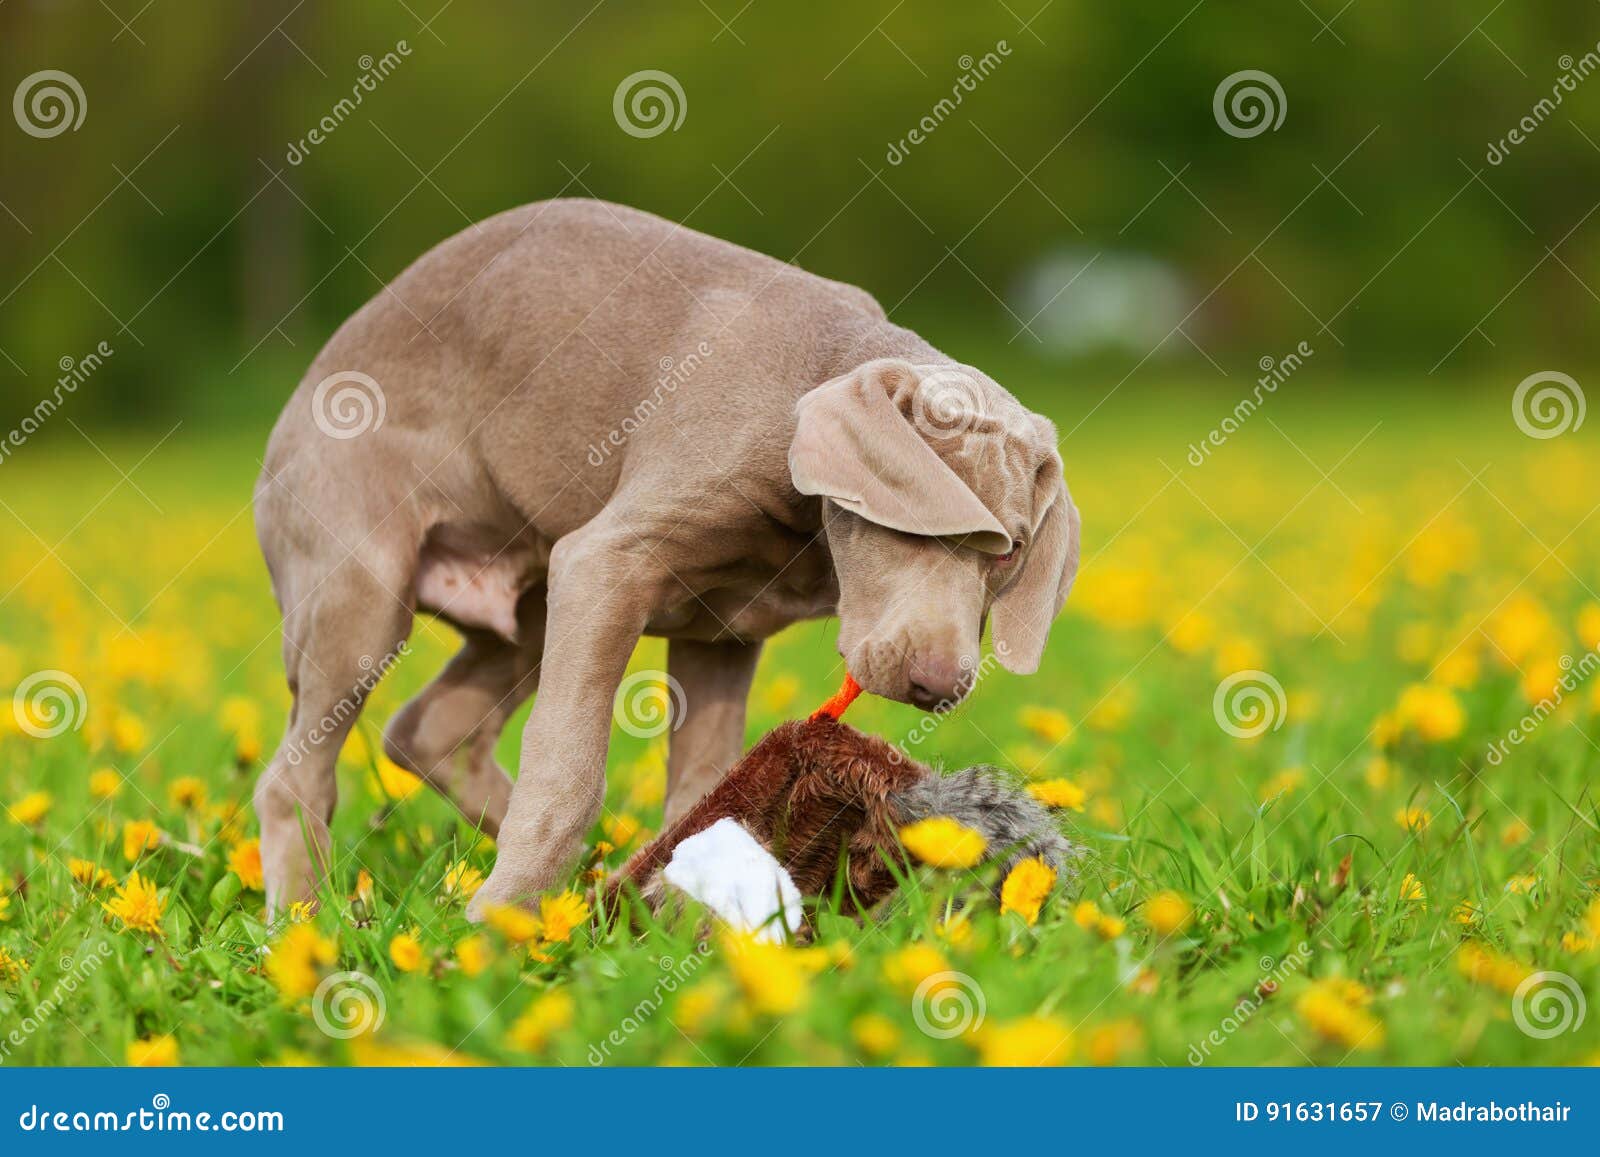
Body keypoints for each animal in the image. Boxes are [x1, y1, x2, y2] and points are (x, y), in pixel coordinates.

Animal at [256, 201, 1081, 921]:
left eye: (1008, 552)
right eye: (911, 525)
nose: (939, 686)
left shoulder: (723, 635)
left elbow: (703, 790)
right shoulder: (604, 559)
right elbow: (569, 770)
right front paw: (496, 925)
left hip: (528, 602)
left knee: (430, 729)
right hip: (361, 587)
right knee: (293, 775)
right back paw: (309, 920)